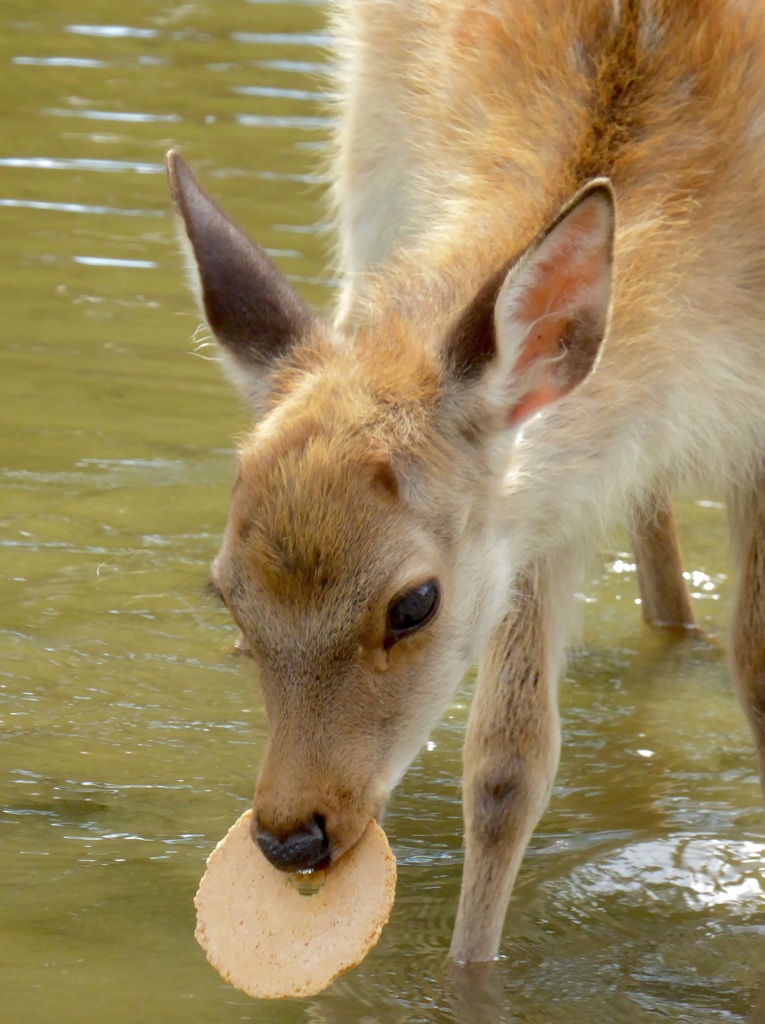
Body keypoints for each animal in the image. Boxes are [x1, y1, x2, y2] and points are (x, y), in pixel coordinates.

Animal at [168, 0, 765, 962]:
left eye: (415, 602)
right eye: (225, 592)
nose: (292, 834)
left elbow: (757, 667)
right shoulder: (534, 504)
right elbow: (505, 765)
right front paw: (467, 967)